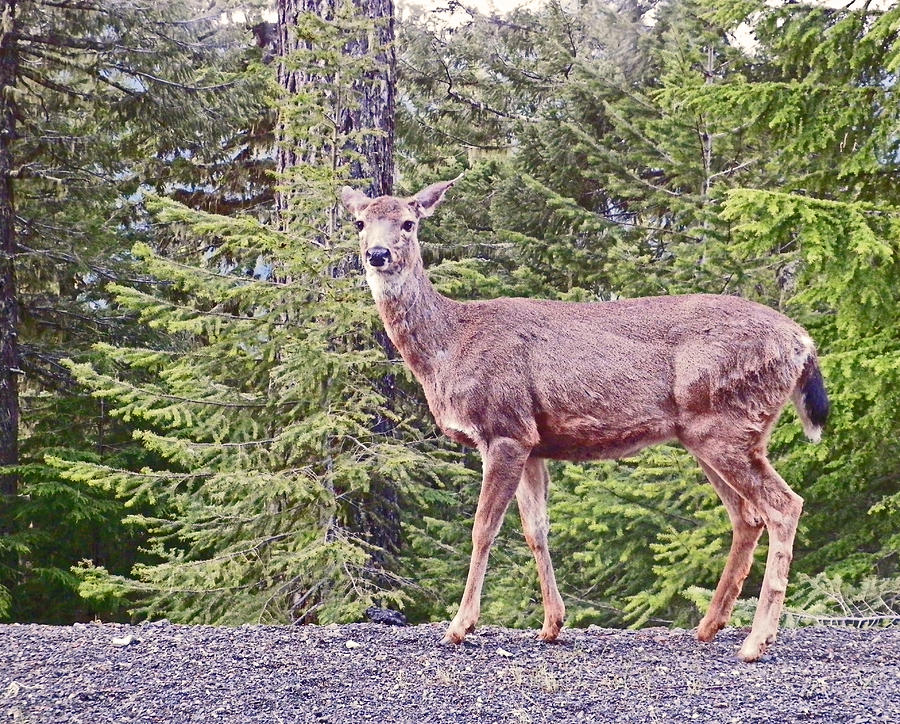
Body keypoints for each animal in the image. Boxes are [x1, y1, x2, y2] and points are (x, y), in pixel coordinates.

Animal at [342, 175, 828, 660]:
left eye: (408, 222)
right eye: (360, 222)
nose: (377, 254)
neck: (450, 347)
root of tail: (803, 342)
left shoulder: (504, 429)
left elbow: (483, 529)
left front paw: (460, 626)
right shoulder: (533, 442)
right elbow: (536, 530)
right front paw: (552, 624)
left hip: (727, 424)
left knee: (784, 506)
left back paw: (756, 639)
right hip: (709, 434)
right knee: (747, 517)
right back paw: (710, 626)